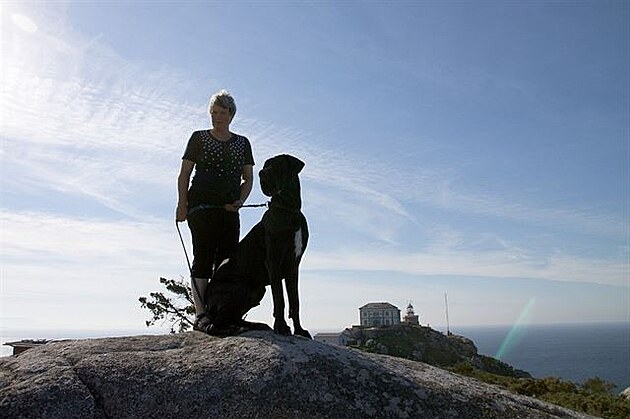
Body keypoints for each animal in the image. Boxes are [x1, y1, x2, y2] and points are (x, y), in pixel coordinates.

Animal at [204, 156, 312, 340]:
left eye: (276, 165)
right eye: (264, 166)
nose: (261, 173)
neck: (289, 209)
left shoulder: (293, 266)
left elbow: (294, 301)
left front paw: (299, 330)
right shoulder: (274, 261)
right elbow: (279, 298)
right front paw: (281, 327)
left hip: (257, 289)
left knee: (232, 317)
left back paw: (253, 325)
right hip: (241, 287)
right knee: (214, 324)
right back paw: (232, 329)